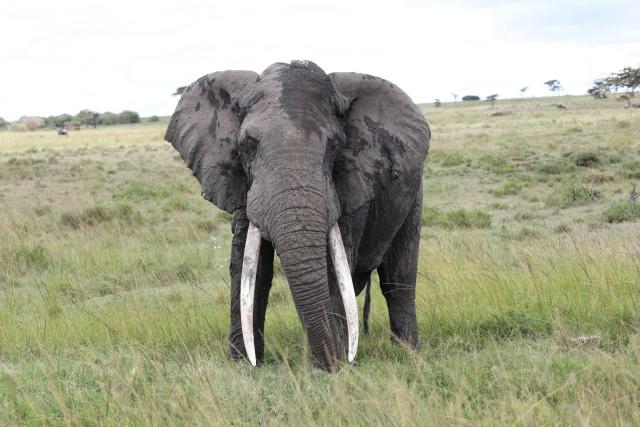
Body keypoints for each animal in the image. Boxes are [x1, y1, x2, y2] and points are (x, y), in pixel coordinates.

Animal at [165, 60, 430, 370]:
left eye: (334, 146)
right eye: (247, 146)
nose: (339, 362)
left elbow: (333, 267)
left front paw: (335, 366)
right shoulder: (243, 185)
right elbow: (249, 266)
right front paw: (244, 364)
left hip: (414, 192)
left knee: (398, 276)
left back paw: (407, 353)